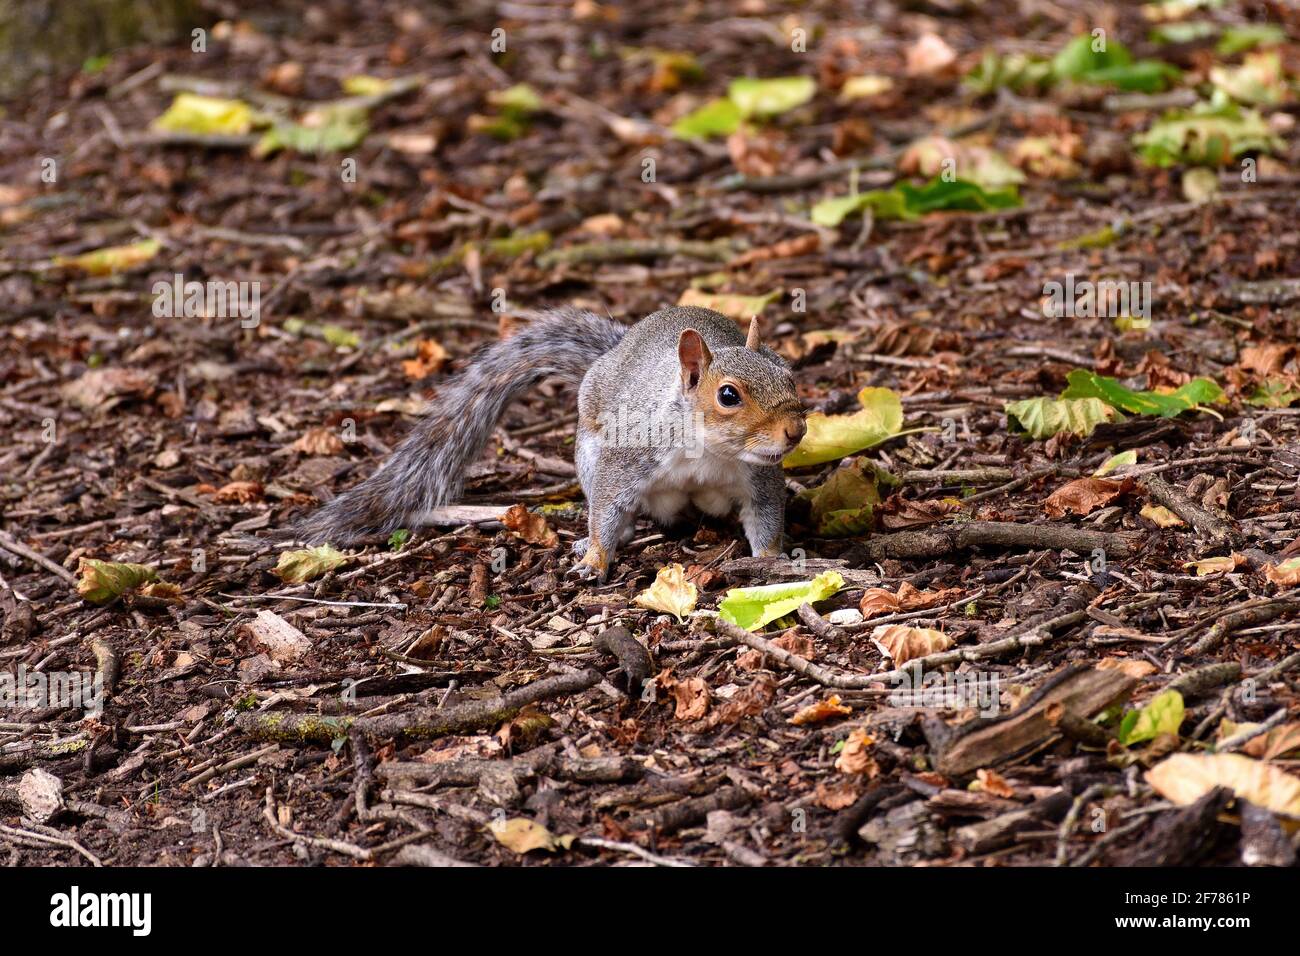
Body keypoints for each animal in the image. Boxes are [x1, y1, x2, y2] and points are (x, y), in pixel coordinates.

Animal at [299, 303, 806, 580]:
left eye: (789, 375)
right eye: (728, 395)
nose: (796, 431)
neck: (710, 448)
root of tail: (614, 351)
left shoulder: (758, 475)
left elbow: (765, 517)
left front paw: (772, 560)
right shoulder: (629, 453)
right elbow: (607, 505)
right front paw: (597, 557)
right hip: (588, 454)